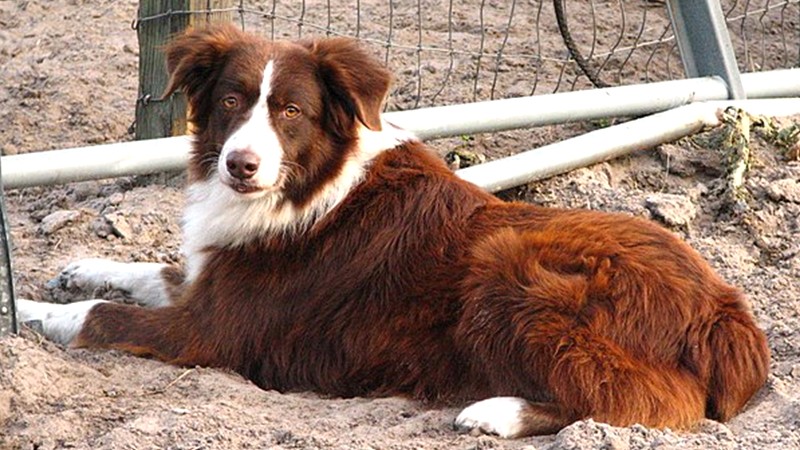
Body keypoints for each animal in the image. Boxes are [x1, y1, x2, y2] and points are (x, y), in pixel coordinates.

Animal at [17, 26, 768, 438]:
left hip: (509, 269)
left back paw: (496, 412)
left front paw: (22, 310)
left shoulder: (212, 333)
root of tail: (726, 312)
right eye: (231, 101)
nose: (240, 165)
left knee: (644, 402)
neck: (309, 184)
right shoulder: (209, 283)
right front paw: (75, 267)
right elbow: (149, 271)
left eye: (291, 111)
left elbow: (95, 316)